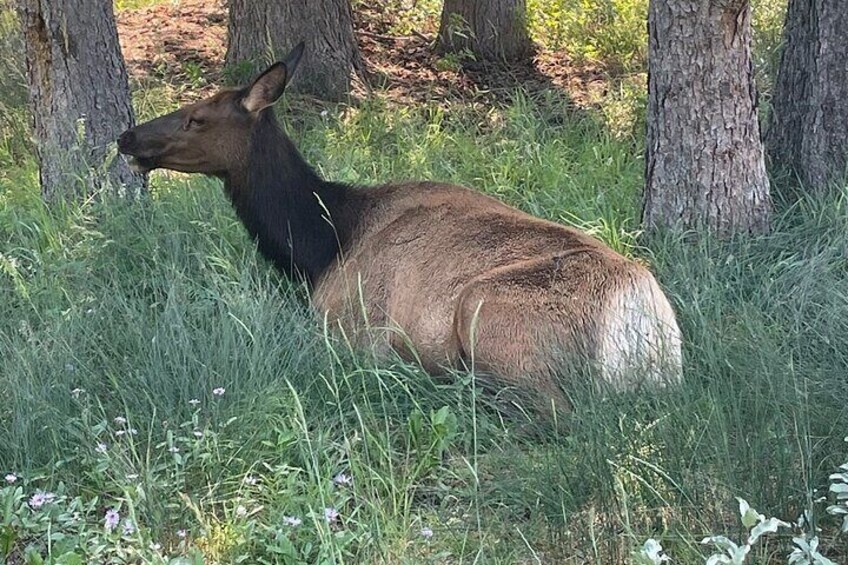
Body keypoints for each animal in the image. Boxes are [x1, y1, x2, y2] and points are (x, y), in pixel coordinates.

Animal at [117, 43, 684, 414]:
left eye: (196, 118)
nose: (127, 136)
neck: (320, 248)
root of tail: (637, 321)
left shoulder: (346, 323)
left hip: (487, 313)